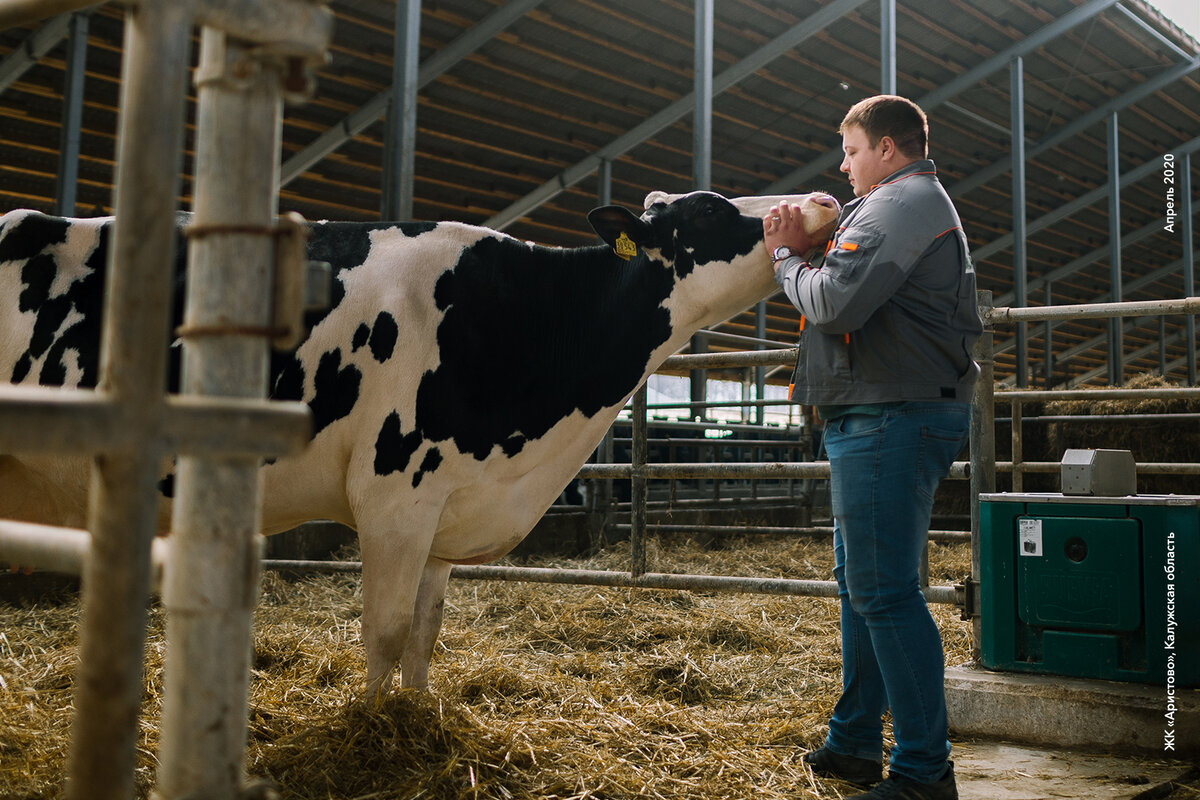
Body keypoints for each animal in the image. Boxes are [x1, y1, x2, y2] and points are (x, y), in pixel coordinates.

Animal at [0, 188, 840, 695]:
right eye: (707, 216)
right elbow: (386, 630)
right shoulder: (394, 495)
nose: (825, 199)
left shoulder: (448, 504)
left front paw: (418, 711)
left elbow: (426, 635)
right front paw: (373, 728)